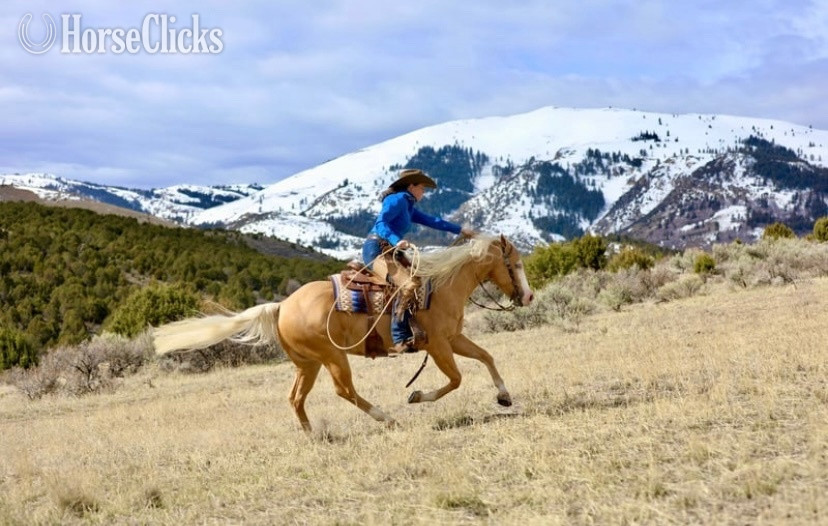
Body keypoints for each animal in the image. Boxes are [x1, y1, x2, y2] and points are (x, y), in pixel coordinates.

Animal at [153, 235, 534, 432]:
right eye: (514, 264)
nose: (529, 297)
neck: (441, 286)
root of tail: (282, 306)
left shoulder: (454, 339)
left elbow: (486, 356)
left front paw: (504, 396)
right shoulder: (440, 345)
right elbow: (455, 379)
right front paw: (415, 396)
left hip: (307, 364)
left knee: (296, 398)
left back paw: (314, 435)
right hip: (333, 357)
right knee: (344, 391)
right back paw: (386, 417)